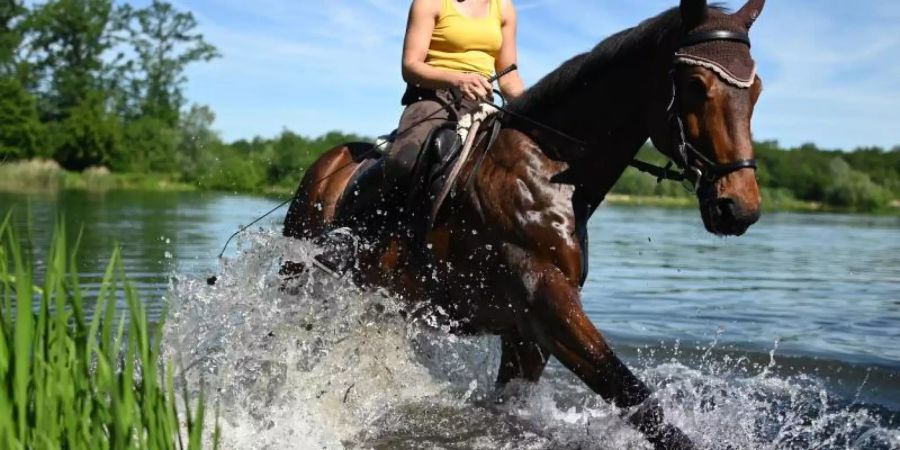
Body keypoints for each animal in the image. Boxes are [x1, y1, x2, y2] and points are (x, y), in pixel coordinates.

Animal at [284, 0, 768, 446]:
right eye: (695, 85)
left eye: (757, 89)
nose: (739, 207)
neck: (545, 168)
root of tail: (329, 163)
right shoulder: (547, 303)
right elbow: (633, 396)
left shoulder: (526, 334)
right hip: (299, 276)